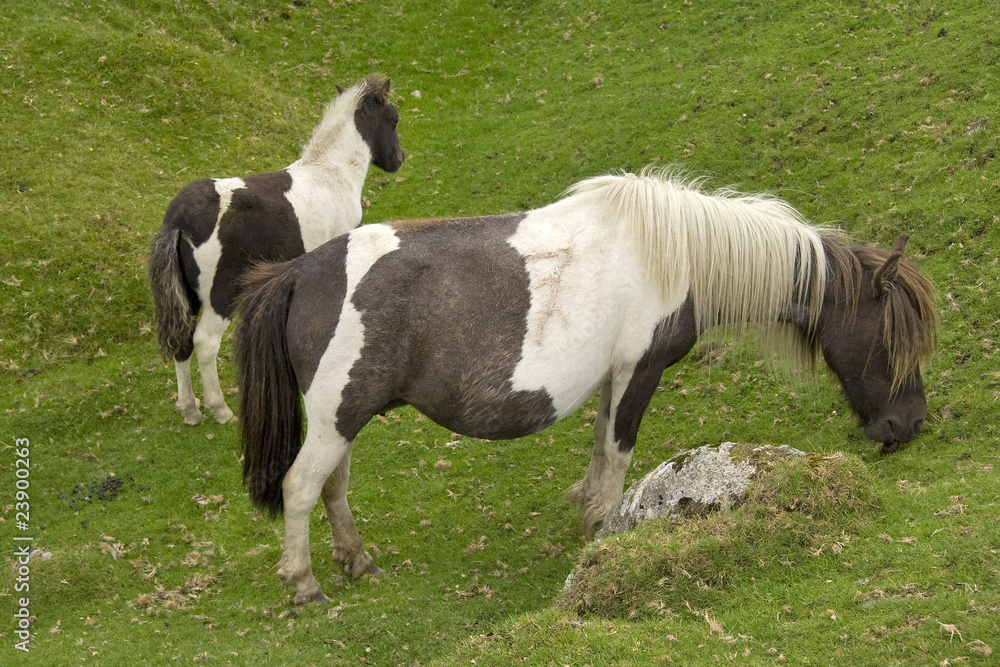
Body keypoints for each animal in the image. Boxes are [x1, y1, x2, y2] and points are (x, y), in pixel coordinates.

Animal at [147, 74, 402, 428]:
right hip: (220, 297)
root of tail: (179, 220)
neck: (331, 172)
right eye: (393, 119)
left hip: (188, 295)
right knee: (205, 343)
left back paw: (190, 410)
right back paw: (220, 410)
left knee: (181, 341)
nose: (398, 160)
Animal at [234, 170, 936, 604]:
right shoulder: (639, 371)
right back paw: (305, 583)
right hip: (335, 419)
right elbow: (620, 452)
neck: (676, 253)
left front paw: (591, 513)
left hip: (344, 420)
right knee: (301, 487)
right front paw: (606, 526)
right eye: (890, 342)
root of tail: (297, 273)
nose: (908, 426)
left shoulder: (613, 377)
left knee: (332, 488)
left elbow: (601, 444)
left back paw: (357, 561)